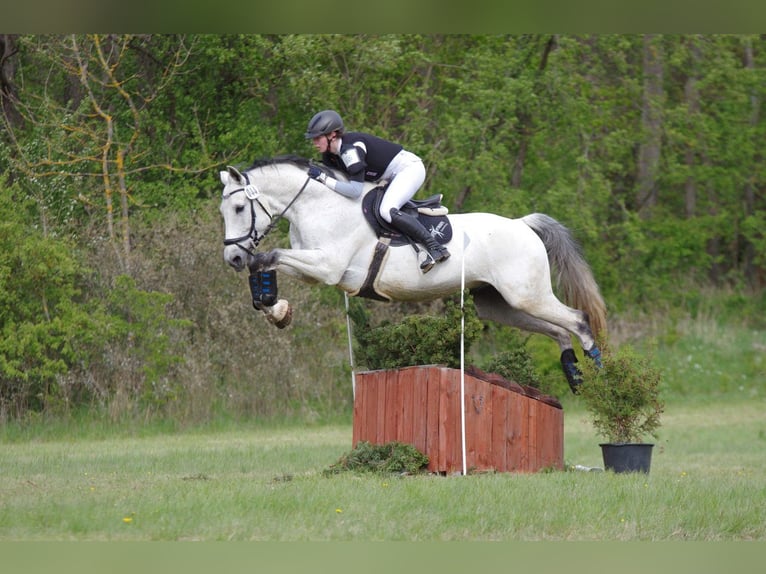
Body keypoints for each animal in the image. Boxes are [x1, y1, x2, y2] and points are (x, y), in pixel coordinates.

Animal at [219, 155, 606, 392]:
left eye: (238, 208)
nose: (232, 257)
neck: (319, 206)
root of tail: (523, 224)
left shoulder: (326, 266)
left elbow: (269, 255)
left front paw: (273, 306)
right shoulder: (312, 268)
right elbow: (264, 260)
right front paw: (275, 309)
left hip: (528, 295)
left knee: (579, 321)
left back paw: (599, 378)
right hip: (501, 304)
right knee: (560, 331)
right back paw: (575, 378)